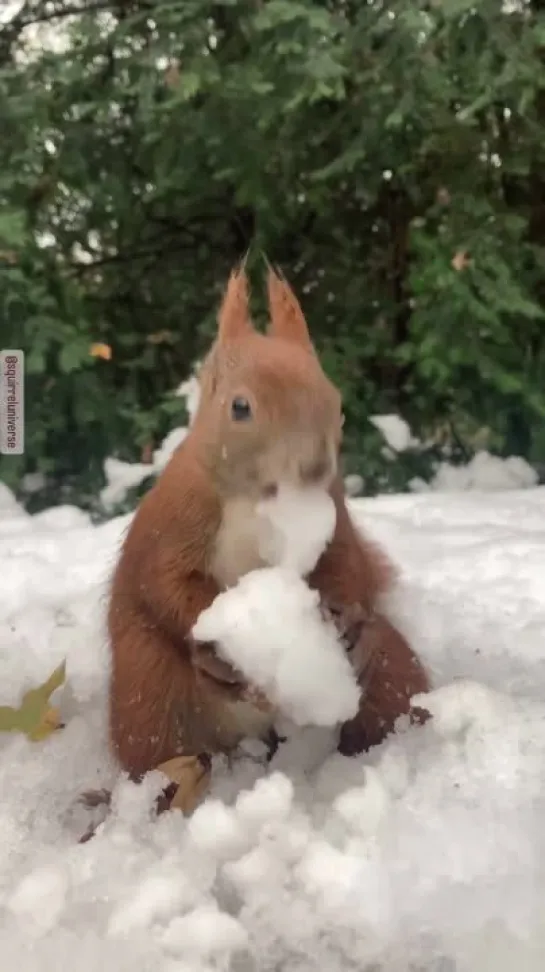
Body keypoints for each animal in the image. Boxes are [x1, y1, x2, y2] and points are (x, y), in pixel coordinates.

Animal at [106, 264, 430, 804]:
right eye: (240, 407)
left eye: (337, 403)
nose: (316, 466)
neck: (258, 500)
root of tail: (257, 735)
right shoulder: (174, 523)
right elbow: (167, 585)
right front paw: (221, 649)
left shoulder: (335, 515)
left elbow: (347, 564)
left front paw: (347, 615)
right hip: (146, 688)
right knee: (157, 746)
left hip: (390, 671)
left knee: (390, 689)